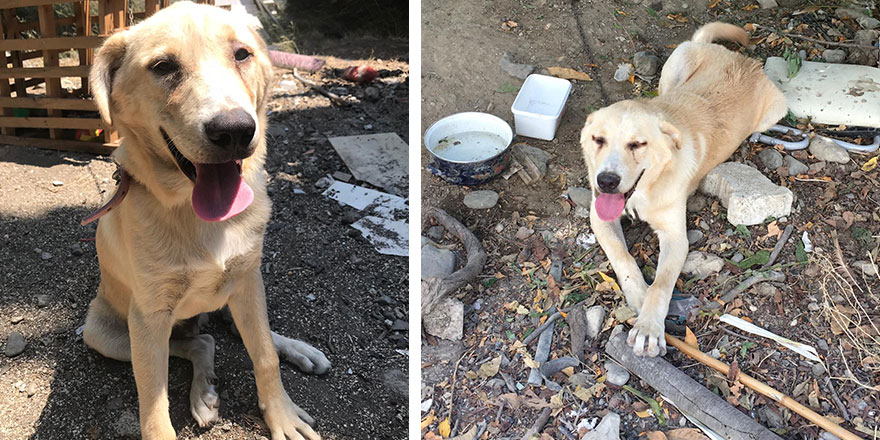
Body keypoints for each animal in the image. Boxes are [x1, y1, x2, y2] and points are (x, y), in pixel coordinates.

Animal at [82, 1, 328, 438]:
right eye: (163, 66)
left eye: (242, 54)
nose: (235, 131)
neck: (198, 216)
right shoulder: (148, 317)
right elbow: (154, 404)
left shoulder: (248, 280)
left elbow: (265, 355)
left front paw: (281, 414)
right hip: (103, 332)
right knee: (202, 342)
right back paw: (203, 394)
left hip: (240, 291)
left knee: (238, 335)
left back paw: (298, 349)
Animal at [580, 21, 788, 358]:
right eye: (598, 139)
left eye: (638, 144)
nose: (606, 181)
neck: (645, 191)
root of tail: (745, 61)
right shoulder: (599, 217)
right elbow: (623, 258)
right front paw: (638, 295)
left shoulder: (676, 237)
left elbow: (662, 284)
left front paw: (649, 327)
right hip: (677, 63)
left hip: (777, 110)